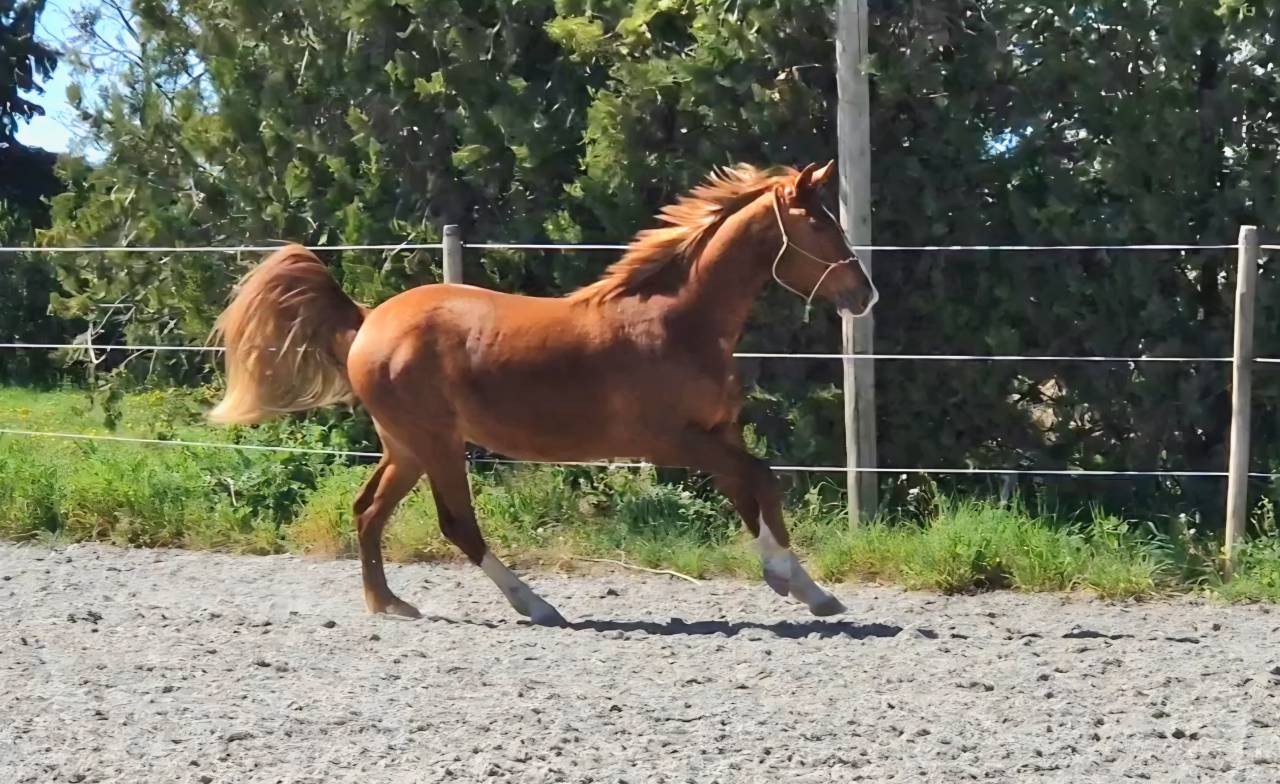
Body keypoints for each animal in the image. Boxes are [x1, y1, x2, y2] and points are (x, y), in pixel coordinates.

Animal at [207, 160, 877, 625]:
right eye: (819, 224)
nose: (865, 295)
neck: (677, 323)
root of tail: (367, 319)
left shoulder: (717, 432)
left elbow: (751, 491)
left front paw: (803, 586)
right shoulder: (672, 441)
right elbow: (761, 479)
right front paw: (798, 583)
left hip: (406, 446)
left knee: (367, 510)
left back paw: (389, 604)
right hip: (436, 443)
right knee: (457, 524)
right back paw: (534, 605)